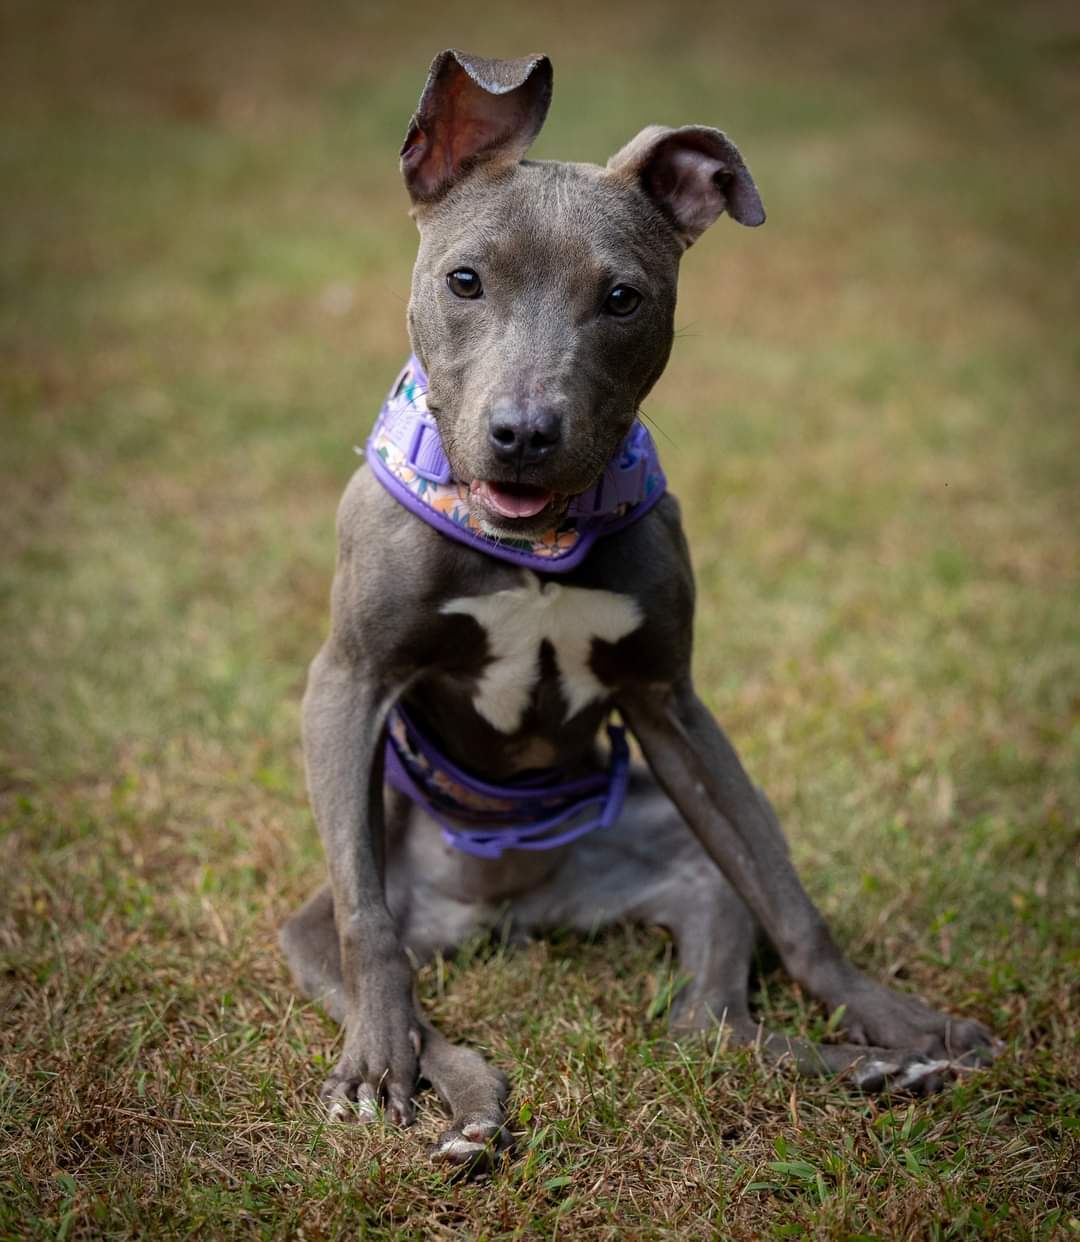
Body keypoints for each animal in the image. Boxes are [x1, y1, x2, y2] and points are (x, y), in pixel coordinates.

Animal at [281, 48, 998, 1167]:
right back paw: (465, 1105)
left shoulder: (672, 706)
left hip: (692, 865)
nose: (525, 432)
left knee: (713, 1022)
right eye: (464, 279)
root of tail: (517, 914)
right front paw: (373, 1069)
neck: (533, 541)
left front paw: (894, 1019)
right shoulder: (349, 683)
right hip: (314, 923)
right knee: (399, 978)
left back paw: (875, 1065)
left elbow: (790, 900)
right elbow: (371, 931)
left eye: (622, 297)